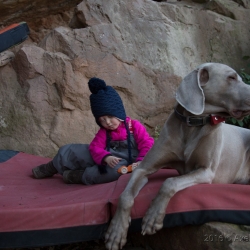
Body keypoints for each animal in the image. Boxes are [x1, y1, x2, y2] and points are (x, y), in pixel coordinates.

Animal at [104, 63, 250, 250]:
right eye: (231, 77)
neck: (192, 125)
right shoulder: (142, 168)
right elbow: (125, 196)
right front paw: (116, 232)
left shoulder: (206, 171)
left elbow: (169, 182)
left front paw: (153, 217)